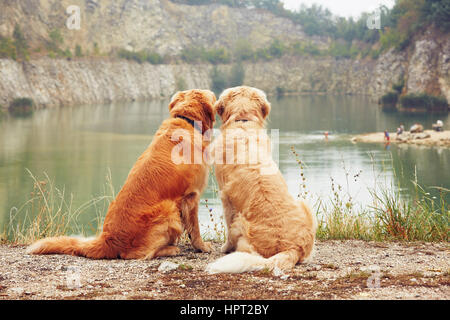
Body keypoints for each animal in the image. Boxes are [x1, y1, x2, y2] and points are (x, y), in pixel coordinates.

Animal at [26, 89, 216, 258]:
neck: (187, 122)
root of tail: (107, 240)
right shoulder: (191, 196)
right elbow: (195, 228)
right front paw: (202, 246)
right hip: (169, 210)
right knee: (136, 254)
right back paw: (169, 249)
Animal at [207, 86, 316, 274]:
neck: (243, 122)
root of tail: (293, 248)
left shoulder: (226, 198)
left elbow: (227, 226)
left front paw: (225, 247)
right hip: (305, 207)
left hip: (241, 223)